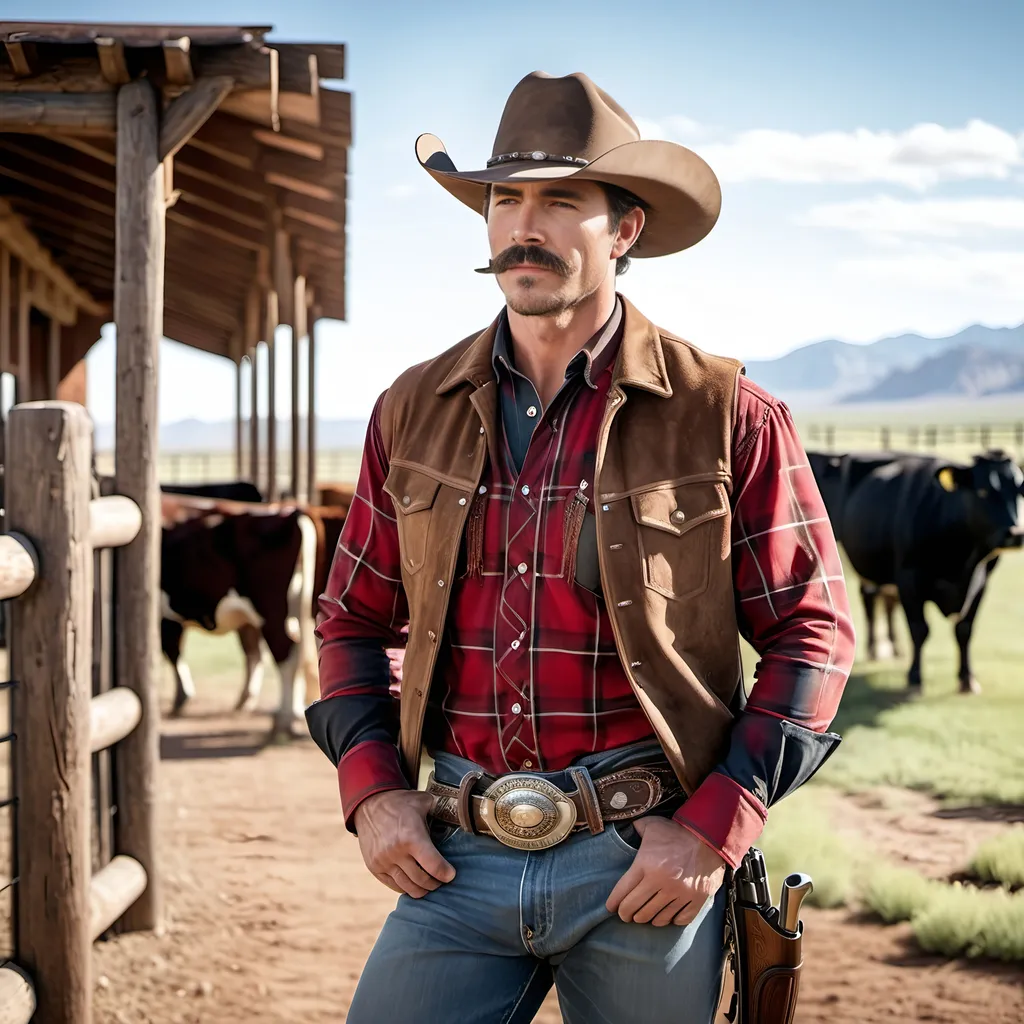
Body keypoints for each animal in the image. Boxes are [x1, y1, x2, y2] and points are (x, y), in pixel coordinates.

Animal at [811, 452, 1019, 692]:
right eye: (983, 491)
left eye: (1020, 489)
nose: (1015, 533)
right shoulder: (909, 579)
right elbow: (920, 629)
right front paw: (915, 679)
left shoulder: (981, 581)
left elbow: (964, 630)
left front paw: (967, 679)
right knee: (869, 602)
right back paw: (873, 650)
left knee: (888, 604)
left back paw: (894, 648)